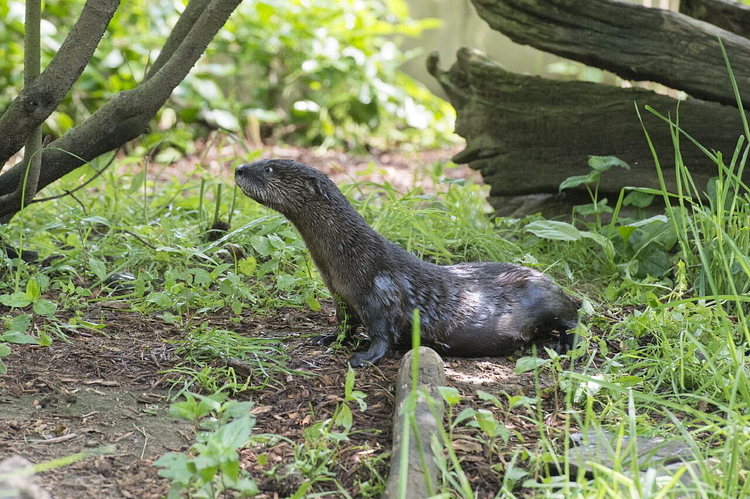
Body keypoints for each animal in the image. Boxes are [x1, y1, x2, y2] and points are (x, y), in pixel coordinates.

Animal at [235, 159, 579, 367]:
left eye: (269, 168)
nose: (239, 168)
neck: (349, 258)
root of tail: (549, 280)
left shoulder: (379, 294)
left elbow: (382, 335)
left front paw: (363, 358)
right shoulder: (342, 297)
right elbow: (344, 323)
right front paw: (327, 337)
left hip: (547, 298)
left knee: (573, 317)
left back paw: (565, 345)